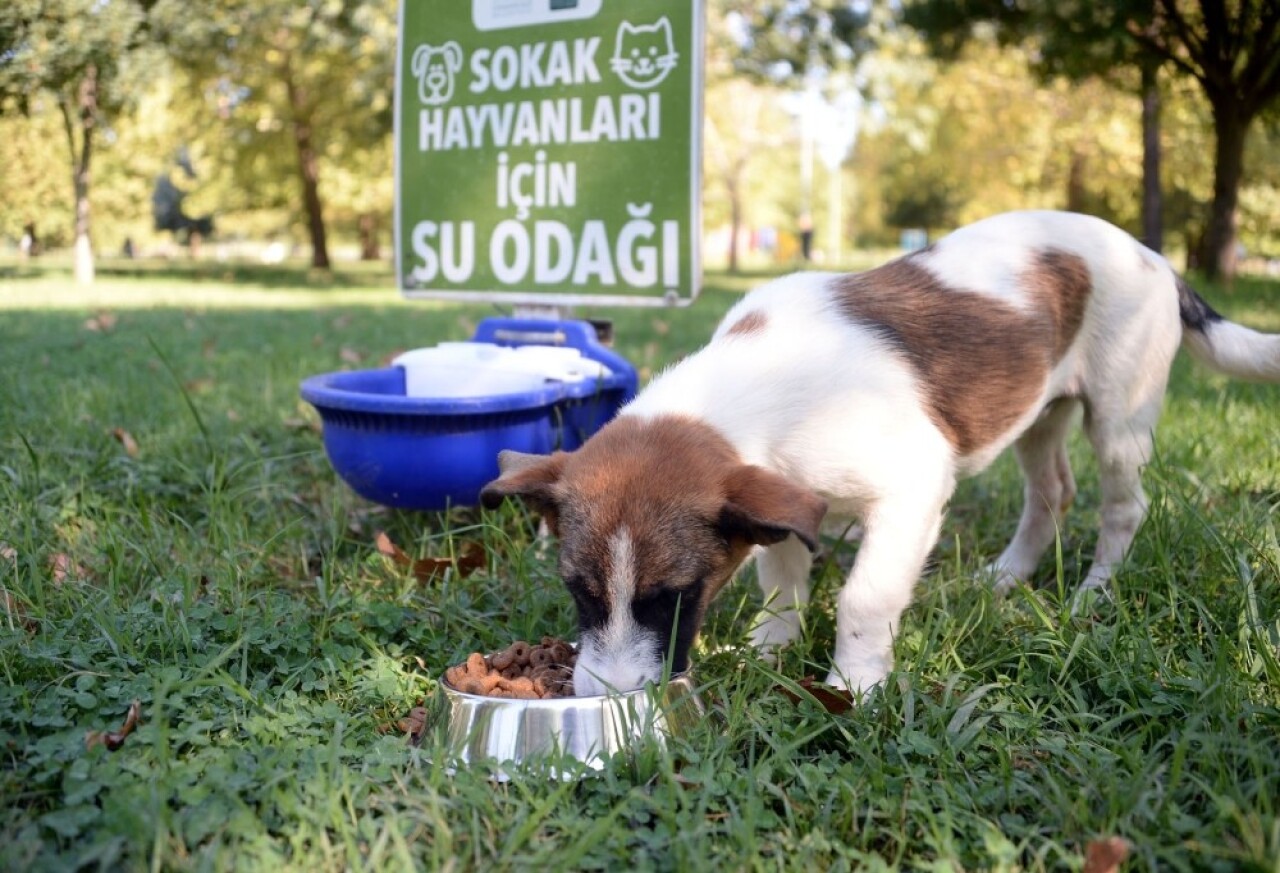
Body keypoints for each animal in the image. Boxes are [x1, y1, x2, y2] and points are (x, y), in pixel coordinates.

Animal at [481, 208, 1280, 691]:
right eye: (579, 592)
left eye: (671, 598)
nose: (609, 696)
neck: (760, 383)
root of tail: (1155, 257)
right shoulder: (783, 497)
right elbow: (782, 580)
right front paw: (772, 648)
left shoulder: (912, 486)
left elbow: (864, 595)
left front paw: (855, 685)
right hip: (1038, 412)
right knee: (1052, 491)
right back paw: (1007, 577)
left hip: (1119, 414)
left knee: (1122, 506)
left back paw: (1093, 591)